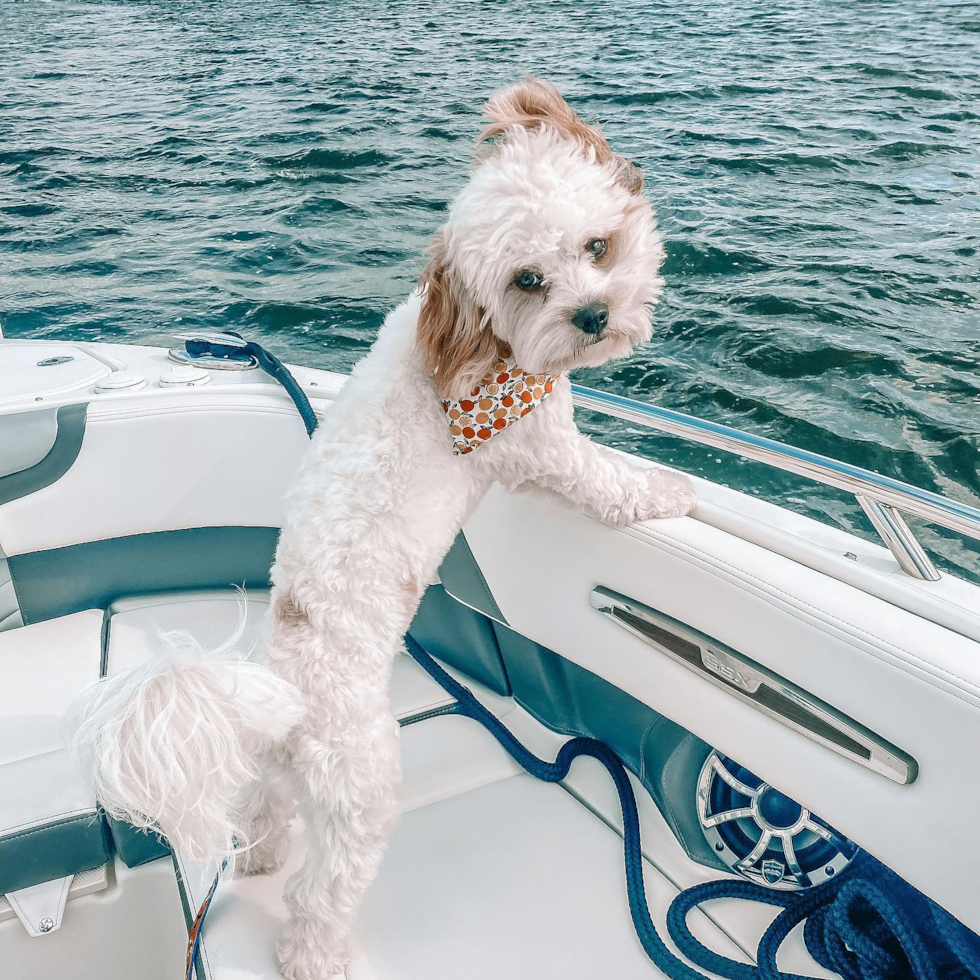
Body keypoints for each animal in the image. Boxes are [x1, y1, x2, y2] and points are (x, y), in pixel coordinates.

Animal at [76, 78, 692, 980]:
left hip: (280, 772)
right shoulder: (544, 446)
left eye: (599, 245)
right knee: (318, 896)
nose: (592, 316)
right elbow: (607, 483)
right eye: (529, 279)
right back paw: (314, 955)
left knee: (262, 810)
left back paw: (260, 853)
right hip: (360, 793)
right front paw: (668, 488)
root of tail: (286, 697)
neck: (475, 345)